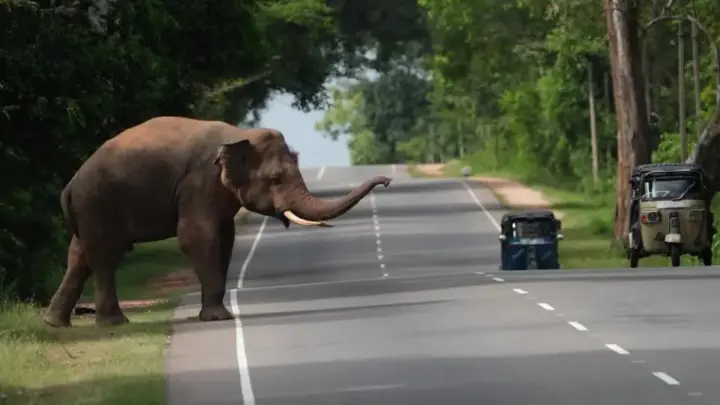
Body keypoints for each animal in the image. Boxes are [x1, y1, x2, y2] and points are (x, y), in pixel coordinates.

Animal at [43, 116, 392, 328]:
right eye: (275, 179)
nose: (387, 180)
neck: (239, 135)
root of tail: (69, 187)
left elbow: (225, 239)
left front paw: (213, 314)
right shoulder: (198, 184)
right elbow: (197, 238)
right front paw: (219, 319)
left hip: (89, 211)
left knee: (79, 256)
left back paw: (55, 323)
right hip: (98, 205)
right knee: (105, 255)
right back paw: (114, 323)